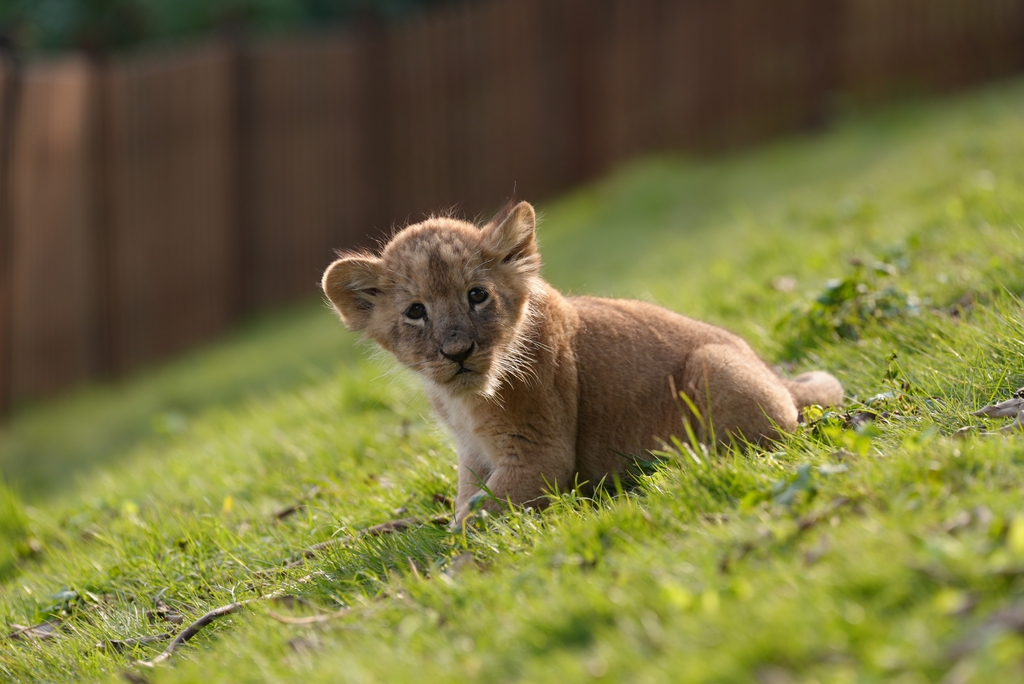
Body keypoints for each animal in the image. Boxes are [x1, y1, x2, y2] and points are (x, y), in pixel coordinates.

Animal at [322, 201, 842, 523]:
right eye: (415, 311)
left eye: (477, 295)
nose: (458, 352)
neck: (462, 401)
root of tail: (778, 376)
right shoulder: (473, 453)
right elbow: (466, 500)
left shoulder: (540, 455)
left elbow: (474, 519)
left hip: (713, 364)